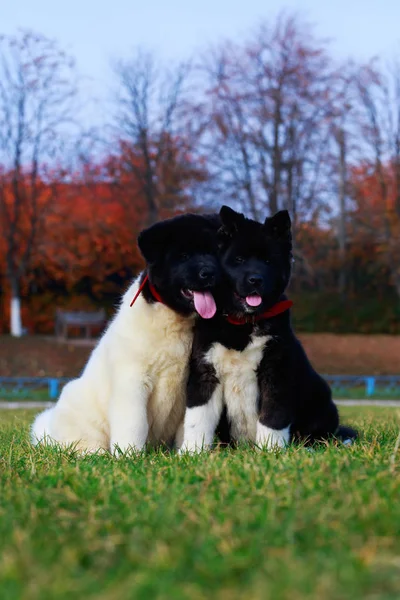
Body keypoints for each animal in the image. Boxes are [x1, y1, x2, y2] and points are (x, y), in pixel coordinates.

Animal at [179, 206, 356, 450]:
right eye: (239, 259)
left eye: (268, 261)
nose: (255, 279)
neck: (243, 324)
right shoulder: (205, 371)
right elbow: (197, 419)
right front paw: (192, 452)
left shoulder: (276, 371)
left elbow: (273, 417)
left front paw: (270, 451)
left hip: (323, 401)